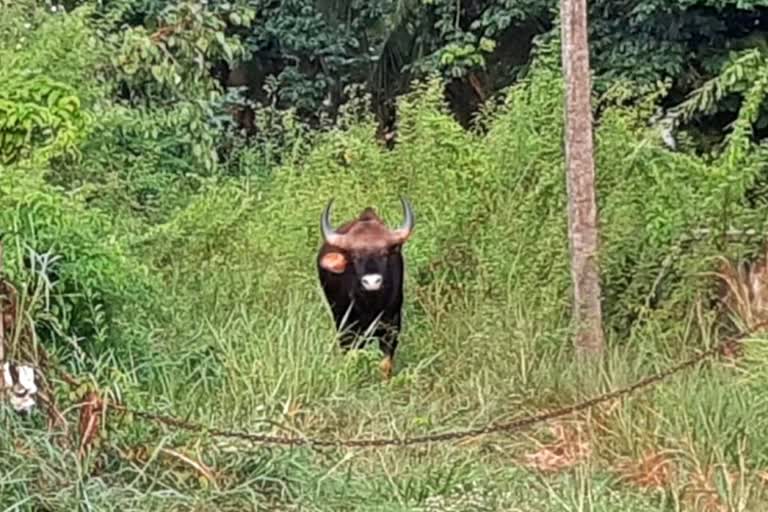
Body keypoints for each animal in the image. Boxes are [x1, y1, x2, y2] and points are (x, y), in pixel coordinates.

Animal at [316, 198, 416, 378]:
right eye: (355, 256)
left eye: (384, 254)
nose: (372, 281)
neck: (370, 305)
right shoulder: (347, 329)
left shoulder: (391, 326)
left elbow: (385, 363)